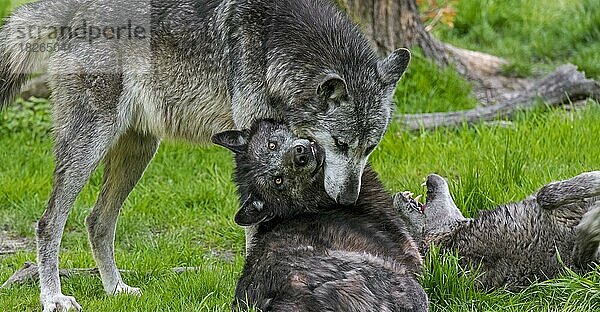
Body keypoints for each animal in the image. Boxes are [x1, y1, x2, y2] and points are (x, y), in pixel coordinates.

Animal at [211, 119, 426, 312]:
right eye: (278, 180)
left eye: (272, 145)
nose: (300, 155)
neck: (317, 204)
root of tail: (287, 295)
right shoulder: (416, 259)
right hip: (409, 287)